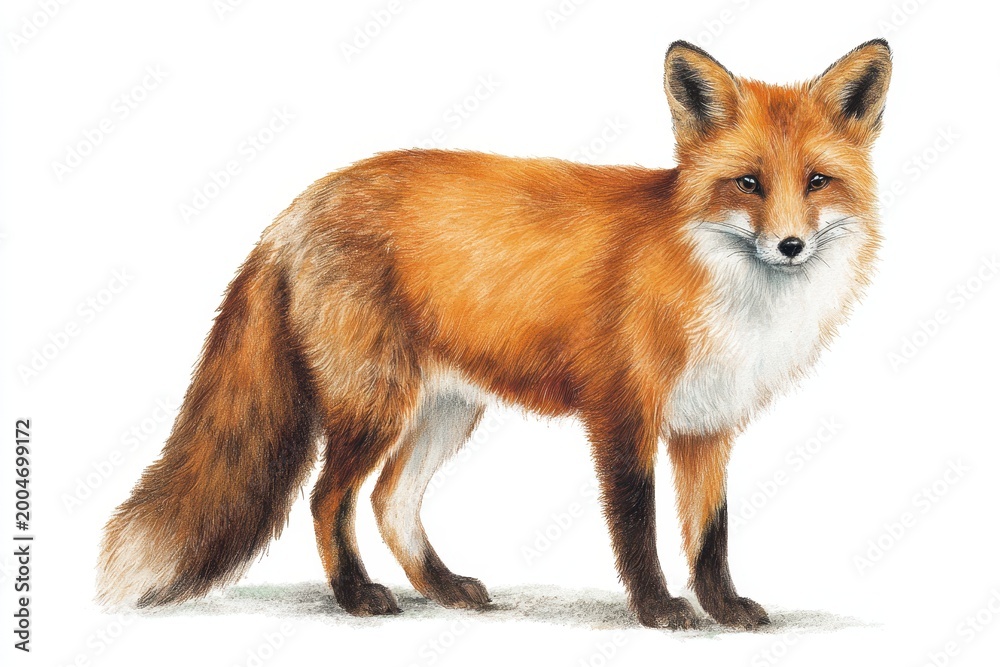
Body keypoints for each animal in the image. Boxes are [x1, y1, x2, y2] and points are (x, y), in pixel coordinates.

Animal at [98, 39, 891, 630]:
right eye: (749, 183)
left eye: (817, 181)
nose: (790, 245)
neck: (725, 289)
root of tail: (297, 206)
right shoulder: (622, 414)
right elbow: (638, 527)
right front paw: (660, 609)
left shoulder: (708, 424)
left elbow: (711, 535)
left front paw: (723, 609)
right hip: (376, 406)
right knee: (328, 500)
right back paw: (357, 597)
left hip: (446, 411)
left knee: (390, 502)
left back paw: (444, 587)